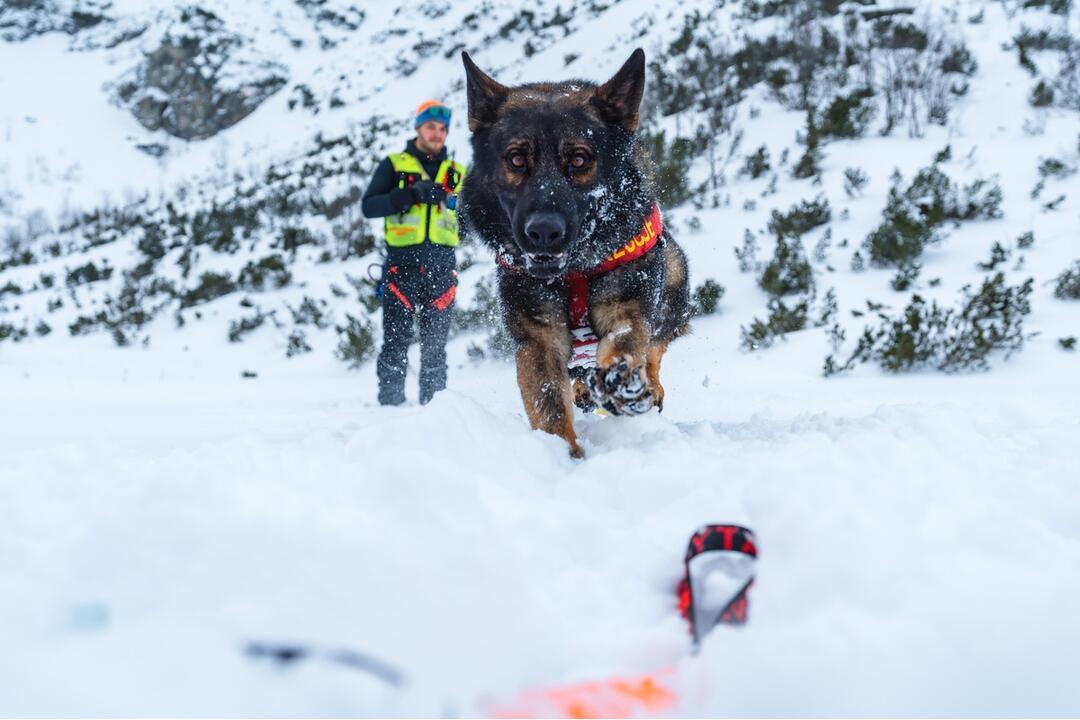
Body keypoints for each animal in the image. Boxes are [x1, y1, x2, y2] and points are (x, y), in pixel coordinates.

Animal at [460, 50, 686, 459]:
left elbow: (629, 345)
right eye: (516, 160)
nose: (543, 232)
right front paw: (565, 456)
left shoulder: (626, 309)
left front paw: (623, 382)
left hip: (674, 280)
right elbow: (549, 407)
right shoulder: (538, 341)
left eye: (579, 160)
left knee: (657, 343)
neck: (575, 272)